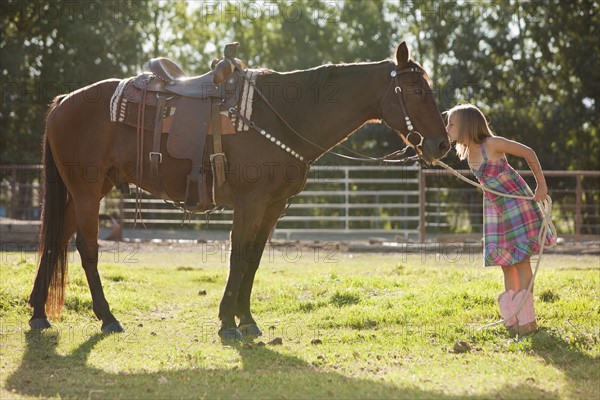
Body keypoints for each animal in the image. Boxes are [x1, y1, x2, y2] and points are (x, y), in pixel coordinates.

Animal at [28, 42, 450, 340]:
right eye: (415, 90)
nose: (442, 145)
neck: (283, 114)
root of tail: (62, 102)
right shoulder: (251, 202)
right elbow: (239, 256)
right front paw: (228, 322)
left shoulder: (273, 206)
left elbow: (254, 259)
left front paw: (245, 319)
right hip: (86, 192)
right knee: (86, 249)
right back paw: (108, 317)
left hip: (88, 191)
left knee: (55, 240)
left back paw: (38, 313)